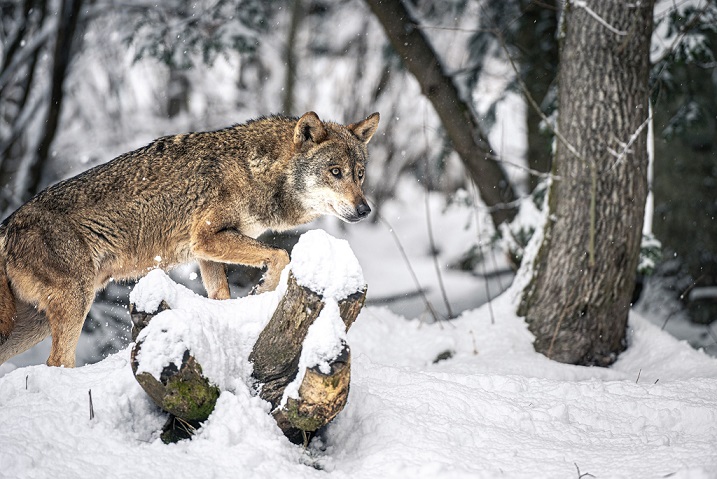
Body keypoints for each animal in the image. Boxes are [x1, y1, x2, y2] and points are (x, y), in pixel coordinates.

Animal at [0, 111, 378, 368]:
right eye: (335, 172)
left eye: (359, 174)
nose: (365, 210)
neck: (256, 169)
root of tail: (10, 225)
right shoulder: (206, 238)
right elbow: (280, 256)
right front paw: (263, 290)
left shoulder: (207, 253)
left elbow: (221, 294)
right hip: (75, 304)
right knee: (57, 362)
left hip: (30, 327)